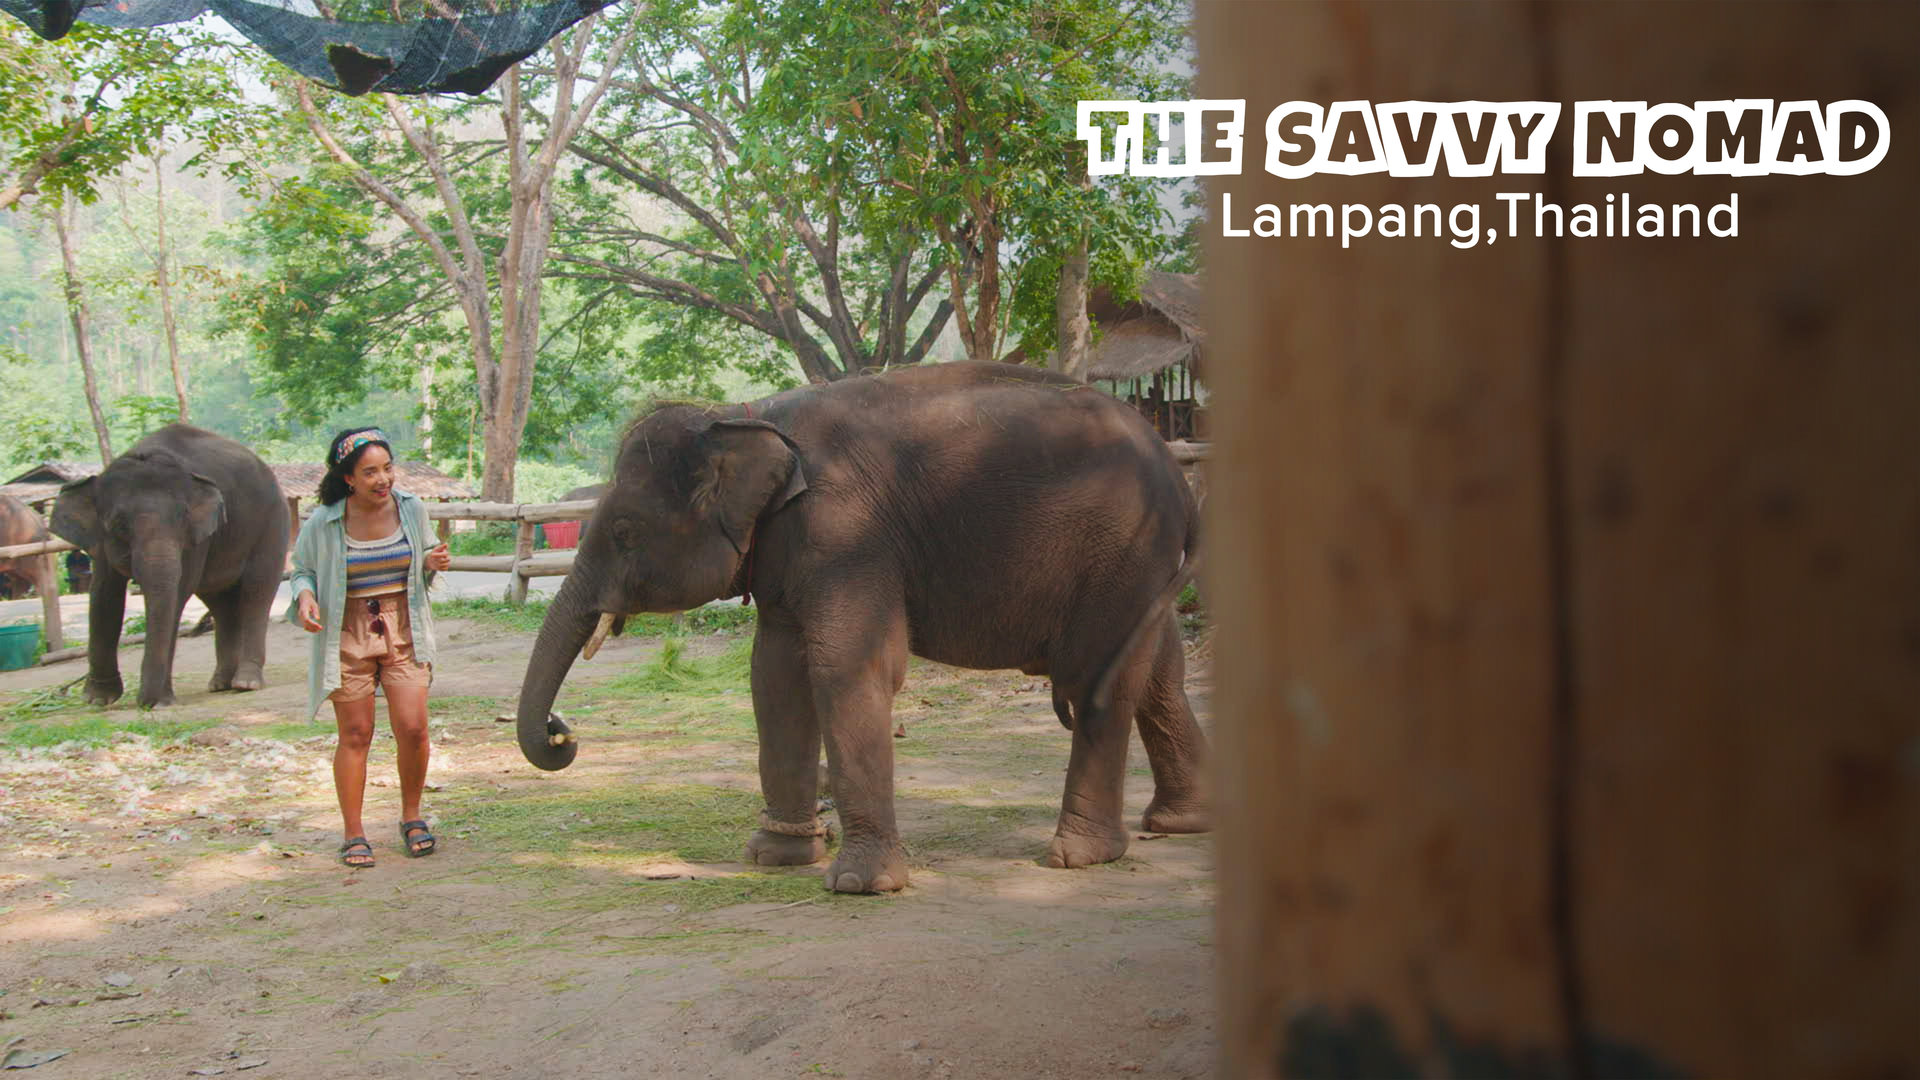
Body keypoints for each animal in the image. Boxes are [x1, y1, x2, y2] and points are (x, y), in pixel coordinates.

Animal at [50, 424, 290, 708]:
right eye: (119, 525)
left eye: (182, 519)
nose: (145, 703)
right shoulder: (100, 540)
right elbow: (103, 595)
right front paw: (98, 700)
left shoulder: (198, 536)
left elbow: (178, 591)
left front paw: (161, 701)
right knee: (221, 603)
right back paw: (221, 684)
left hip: (273, 524)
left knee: (257, 591)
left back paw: (245, 683)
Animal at [515, 361, 1210, 893]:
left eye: (625, 532)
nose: (560, 732)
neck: (744, 416)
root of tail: (1179, 475)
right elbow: (774, 677)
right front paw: (775, 857)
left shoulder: (846, 533)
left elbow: (848, 666)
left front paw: (860, 885)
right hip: (1142, 569)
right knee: (1158, 676)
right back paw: (1178, 824)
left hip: (1123, 553)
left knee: (1103, 682)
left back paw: (1079, 855)